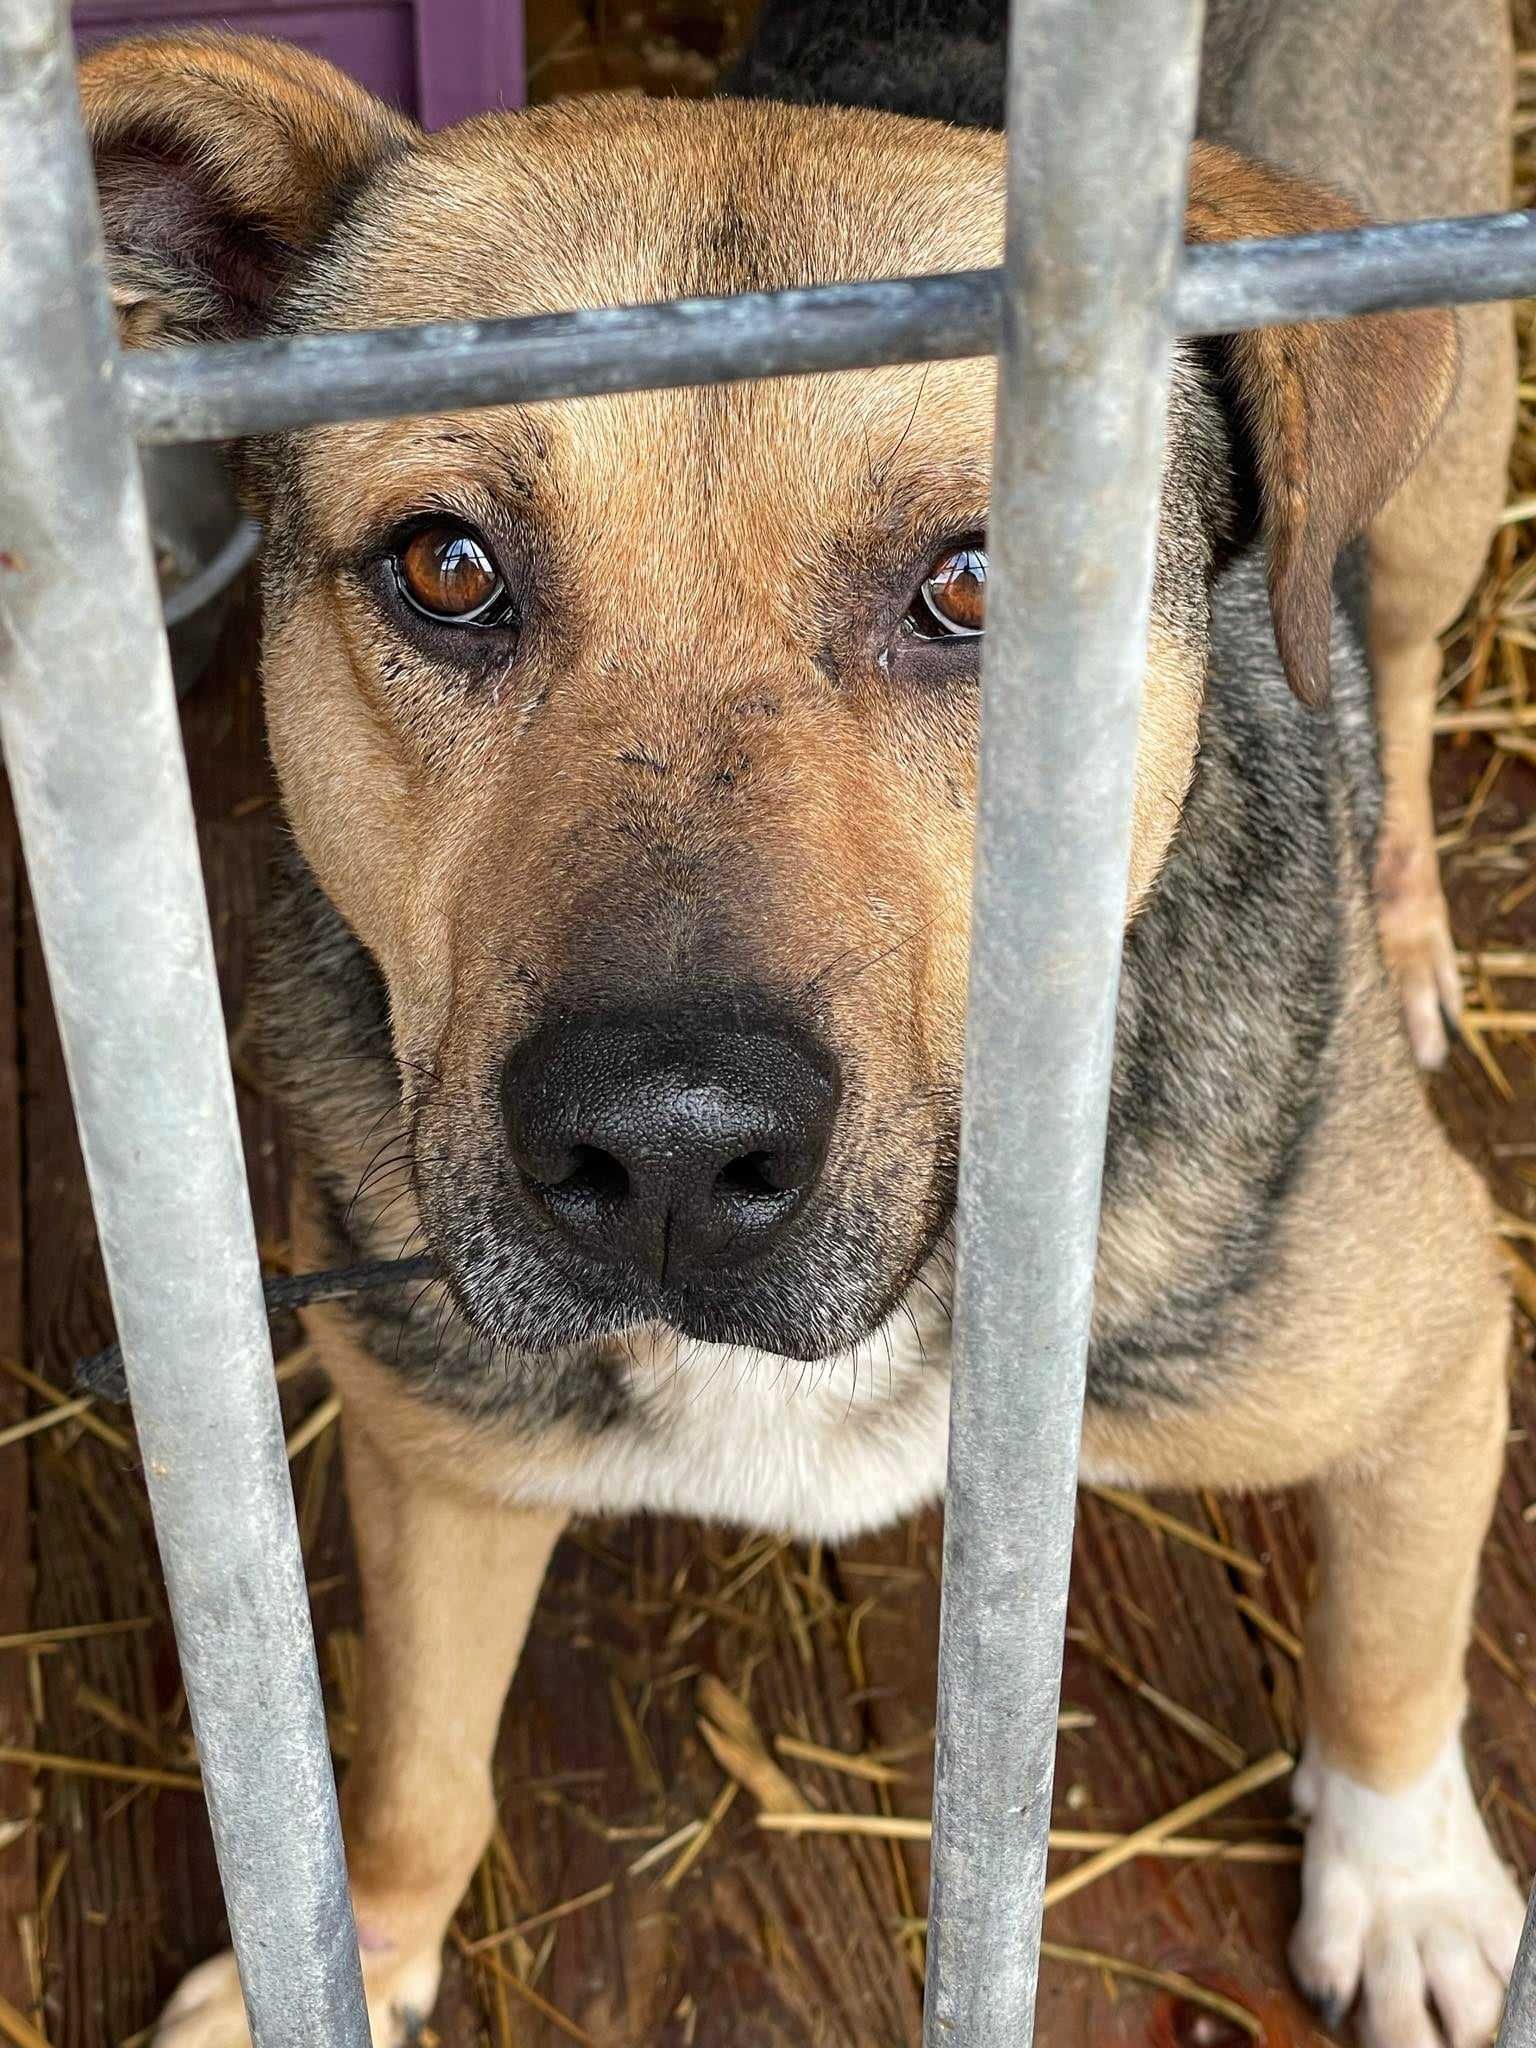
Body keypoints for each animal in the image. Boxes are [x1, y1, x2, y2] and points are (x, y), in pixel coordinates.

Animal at [81, 19, 1531, 2048]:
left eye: (984, 586)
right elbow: (414, 1770)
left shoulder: (1438, 1350)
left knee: (1380, 667)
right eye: (445, 567)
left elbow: (1392, 1652)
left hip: (1443, 487)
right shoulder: (437, 1445)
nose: (666, 1152)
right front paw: (354, 1948)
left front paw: (1398, 1882)